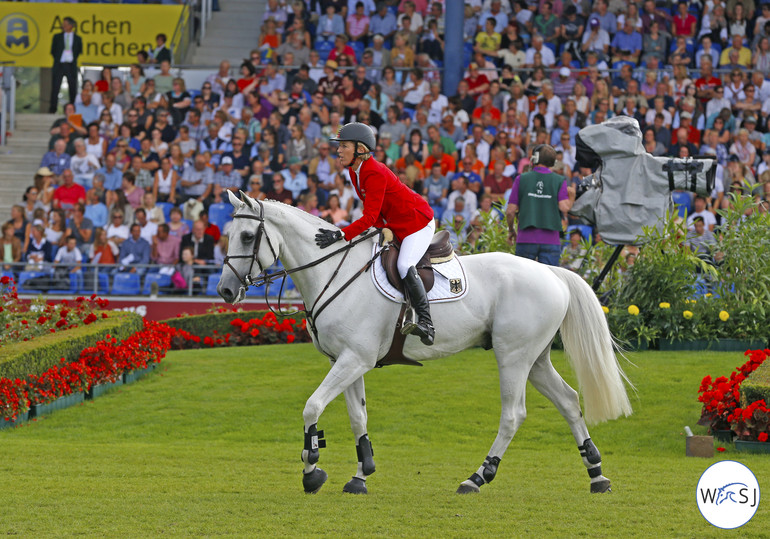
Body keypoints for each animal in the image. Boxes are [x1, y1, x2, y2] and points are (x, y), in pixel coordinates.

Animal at [216, 194, 632, 498]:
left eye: (248, 237)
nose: (224, 291)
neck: (332, 271)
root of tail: (550, 271)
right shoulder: (347, 360)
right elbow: (358, 418)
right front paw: (361, 475)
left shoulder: (354, 359)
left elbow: (312, 407)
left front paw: (311, 470)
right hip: (536, 359)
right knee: (569, 401)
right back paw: (596, 473)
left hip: (513, 357)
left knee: (513, 415)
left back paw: (477, 477)